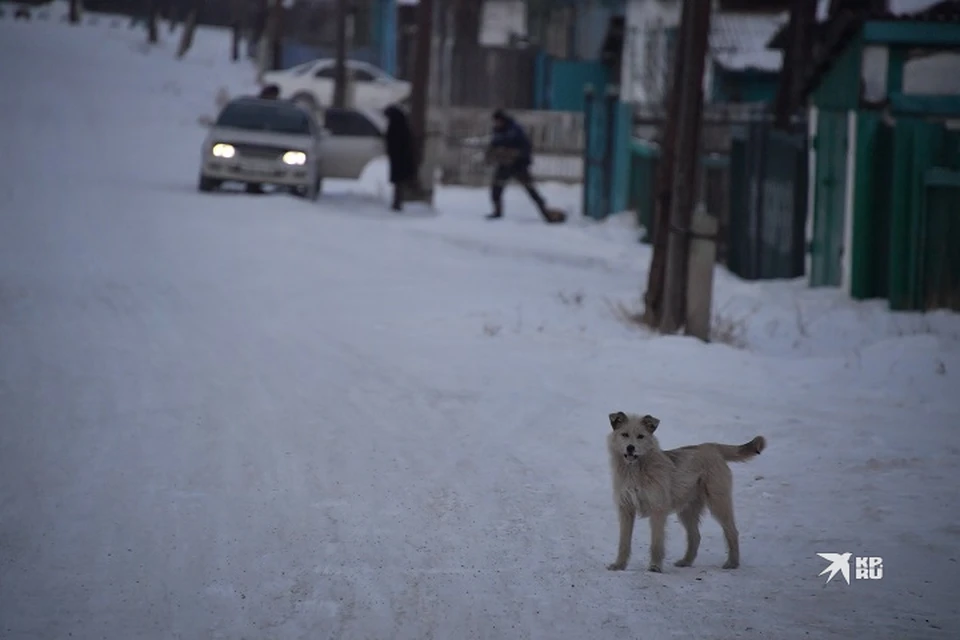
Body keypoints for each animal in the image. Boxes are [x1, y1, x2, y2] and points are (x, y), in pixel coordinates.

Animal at [608, 412, 764, 572]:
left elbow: (657, 542)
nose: (630, 448)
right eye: (624, 434)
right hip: (687, 511)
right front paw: (619, 565)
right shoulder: (626, 510)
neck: (635, 470)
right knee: (695, 536)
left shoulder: (658, 510)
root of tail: (711, 447)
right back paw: (686, 561)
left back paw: (732, 563)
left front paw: (655, 566)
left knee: (732, 531)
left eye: (641, 436)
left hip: (718, 503)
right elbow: (624, 542)